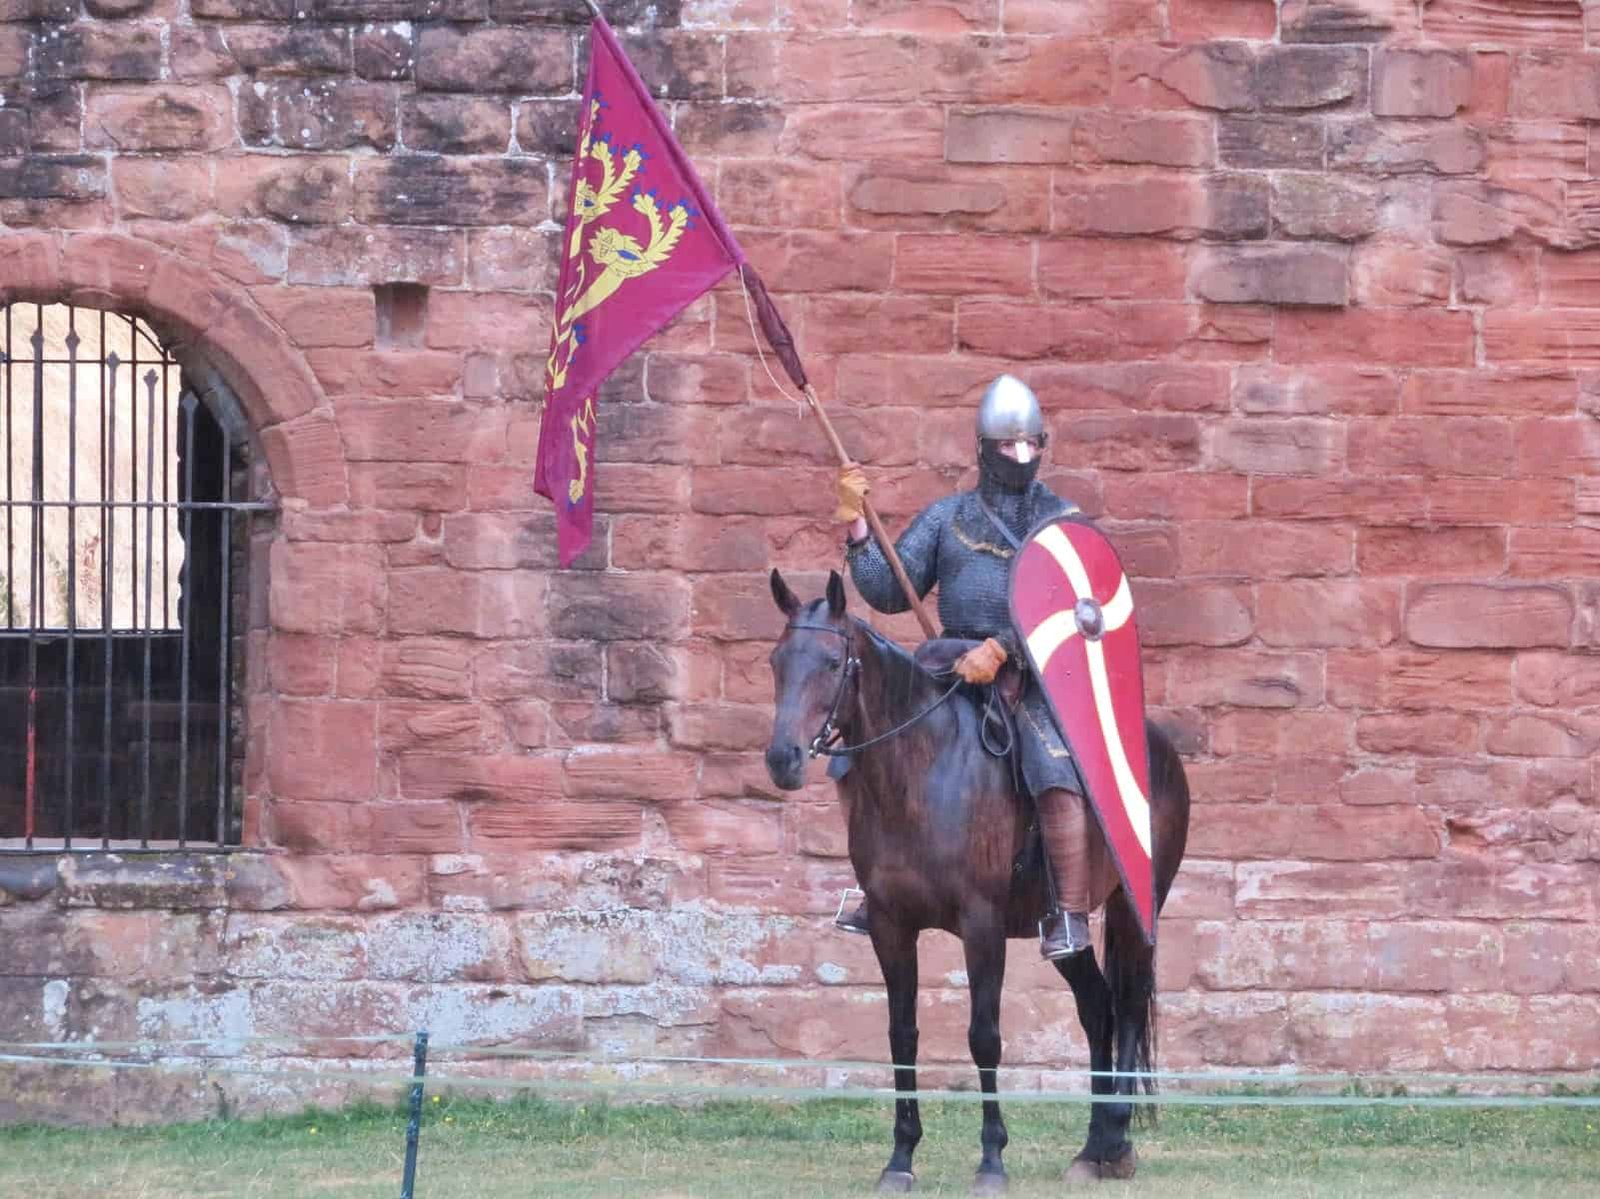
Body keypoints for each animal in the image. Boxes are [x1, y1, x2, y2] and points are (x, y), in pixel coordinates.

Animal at [761, 569, 1190, 1190]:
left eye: (832, 662)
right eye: (776, 661)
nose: (783, 759)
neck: (921, 770)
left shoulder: (981, 925)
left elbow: (983, 1035)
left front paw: (991, 1160)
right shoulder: (890, 927)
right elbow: (902, 1034)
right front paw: (901, 1159)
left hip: (1134, 906)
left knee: (1129, 1006)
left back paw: (1115, 1140)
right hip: (1059, 924)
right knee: (1098, 1007)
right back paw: (1091, 1151)